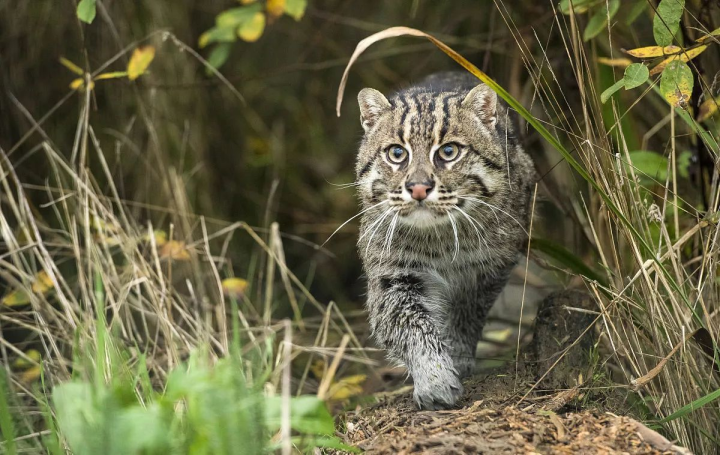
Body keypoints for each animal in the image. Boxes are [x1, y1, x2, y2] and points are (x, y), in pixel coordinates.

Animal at [354, 71, 536, 410]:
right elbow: (408, 324)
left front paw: (457, 357)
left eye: (449, 151)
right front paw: (434, 377)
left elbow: (466, 315)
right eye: (396, 153)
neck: (439, 237)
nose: (418, 187)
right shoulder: (393, 273)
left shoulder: (488, 268)